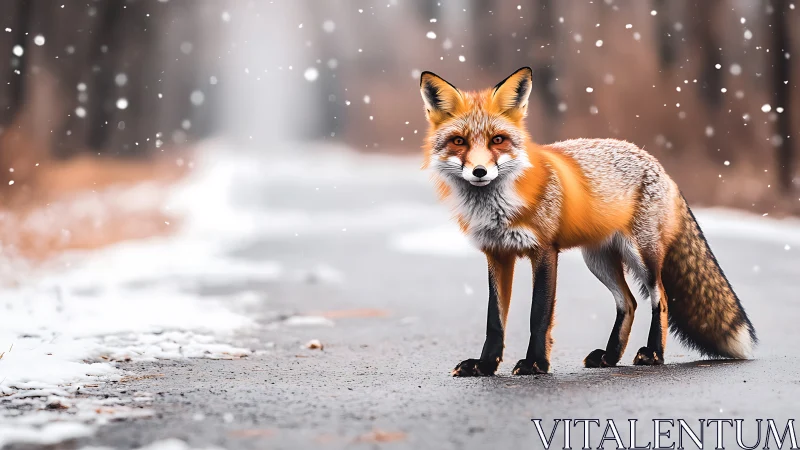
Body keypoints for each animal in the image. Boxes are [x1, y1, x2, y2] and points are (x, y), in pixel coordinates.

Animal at [418, 67, 757, 376]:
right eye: (459, 141)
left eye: (497, 140)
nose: (479, 172)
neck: (498, 208)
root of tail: (657, 163)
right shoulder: (497, 255)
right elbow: (494, 320)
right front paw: (485, 365)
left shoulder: (544, 251)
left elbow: (538, 315)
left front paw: (535, 364)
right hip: (598, 261)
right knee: (629, 303)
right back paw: (610, 357)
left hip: (642, 256)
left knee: (660, 298)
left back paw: (653, 354)